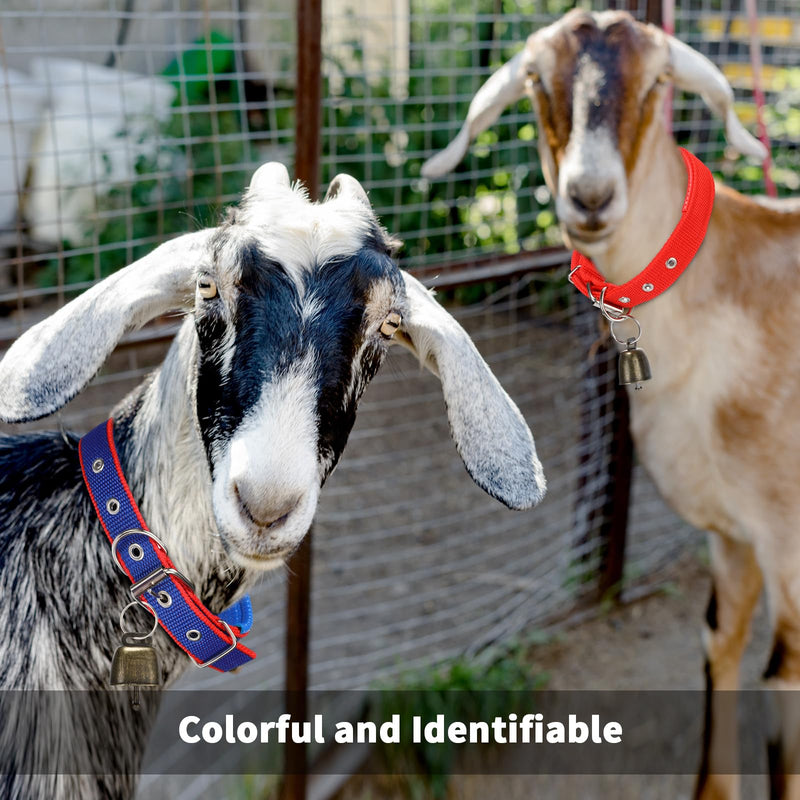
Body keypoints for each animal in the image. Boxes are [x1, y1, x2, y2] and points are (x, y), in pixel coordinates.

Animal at [422, 9, 800, 799]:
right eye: (537, 78)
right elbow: (720, 638)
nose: (590, 197)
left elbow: (783, 687)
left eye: (657, 81)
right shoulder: (734, 535)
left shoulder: (791, 546)